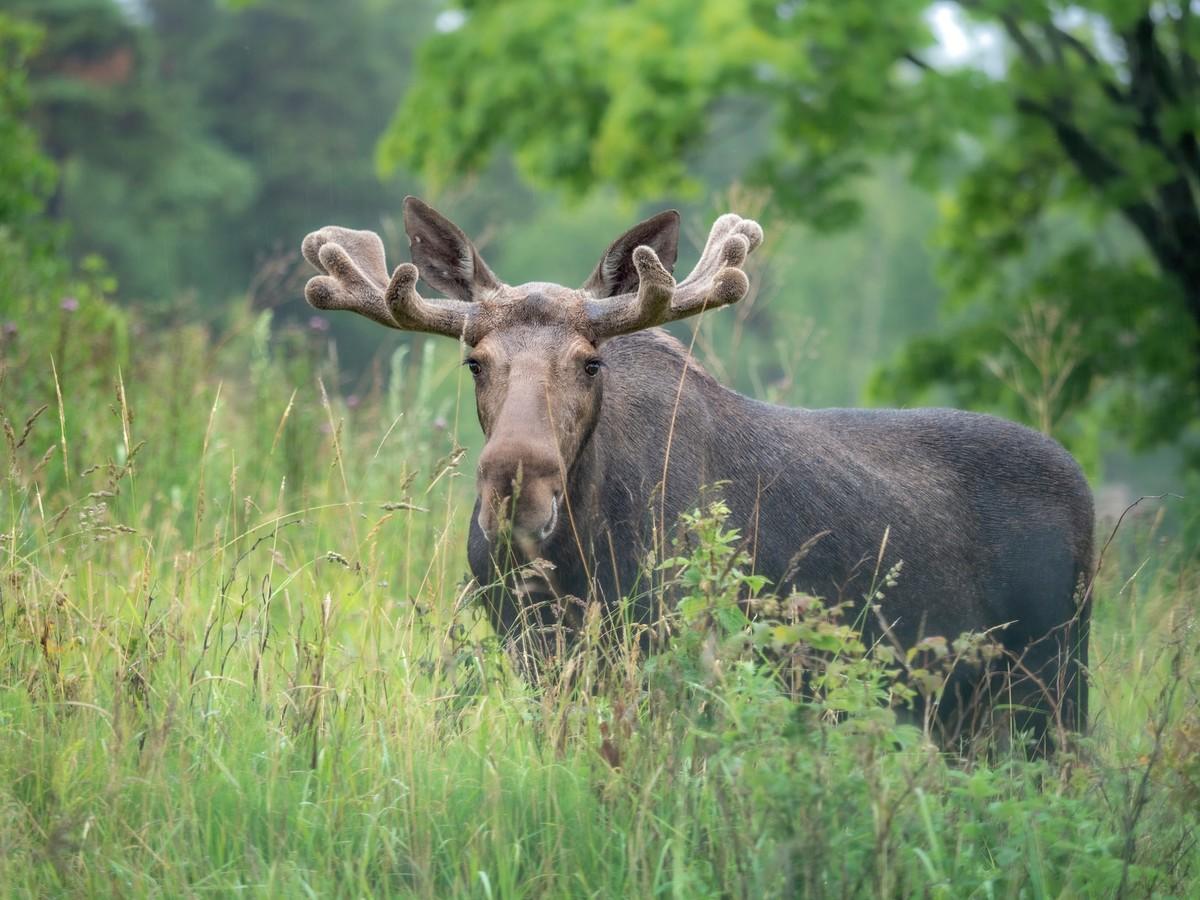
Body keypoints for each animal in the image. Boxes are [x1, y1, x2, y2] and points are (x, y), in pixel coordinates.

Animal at [302, 199, 1099, 748]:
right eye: (475, 360)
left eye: (590, 361)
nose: (519, 494)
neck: (577, 559)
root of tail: (1086, 491)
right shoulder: (534, 652)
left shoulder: (673, 645)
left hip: (1055, 680)